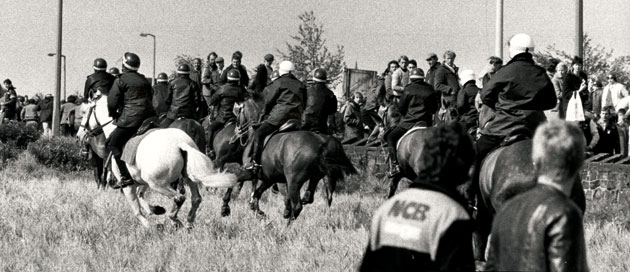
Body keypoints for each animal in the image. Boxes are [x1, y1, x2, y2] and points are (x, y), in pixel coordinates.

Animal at [78, 93, 237, 227]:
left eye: (84, 112)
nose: (79, 135)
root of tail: (180, 143)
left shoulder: (129, 186)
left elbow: (137, 210)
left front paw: (150, 226)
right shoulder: (142, 182)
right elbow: (142, 197)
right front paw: (156, 209)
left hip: (157, 183)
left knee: (179, 197)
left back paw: (174, 219)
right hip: (186, 177)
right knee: (196, 198)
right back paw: (188, 222)